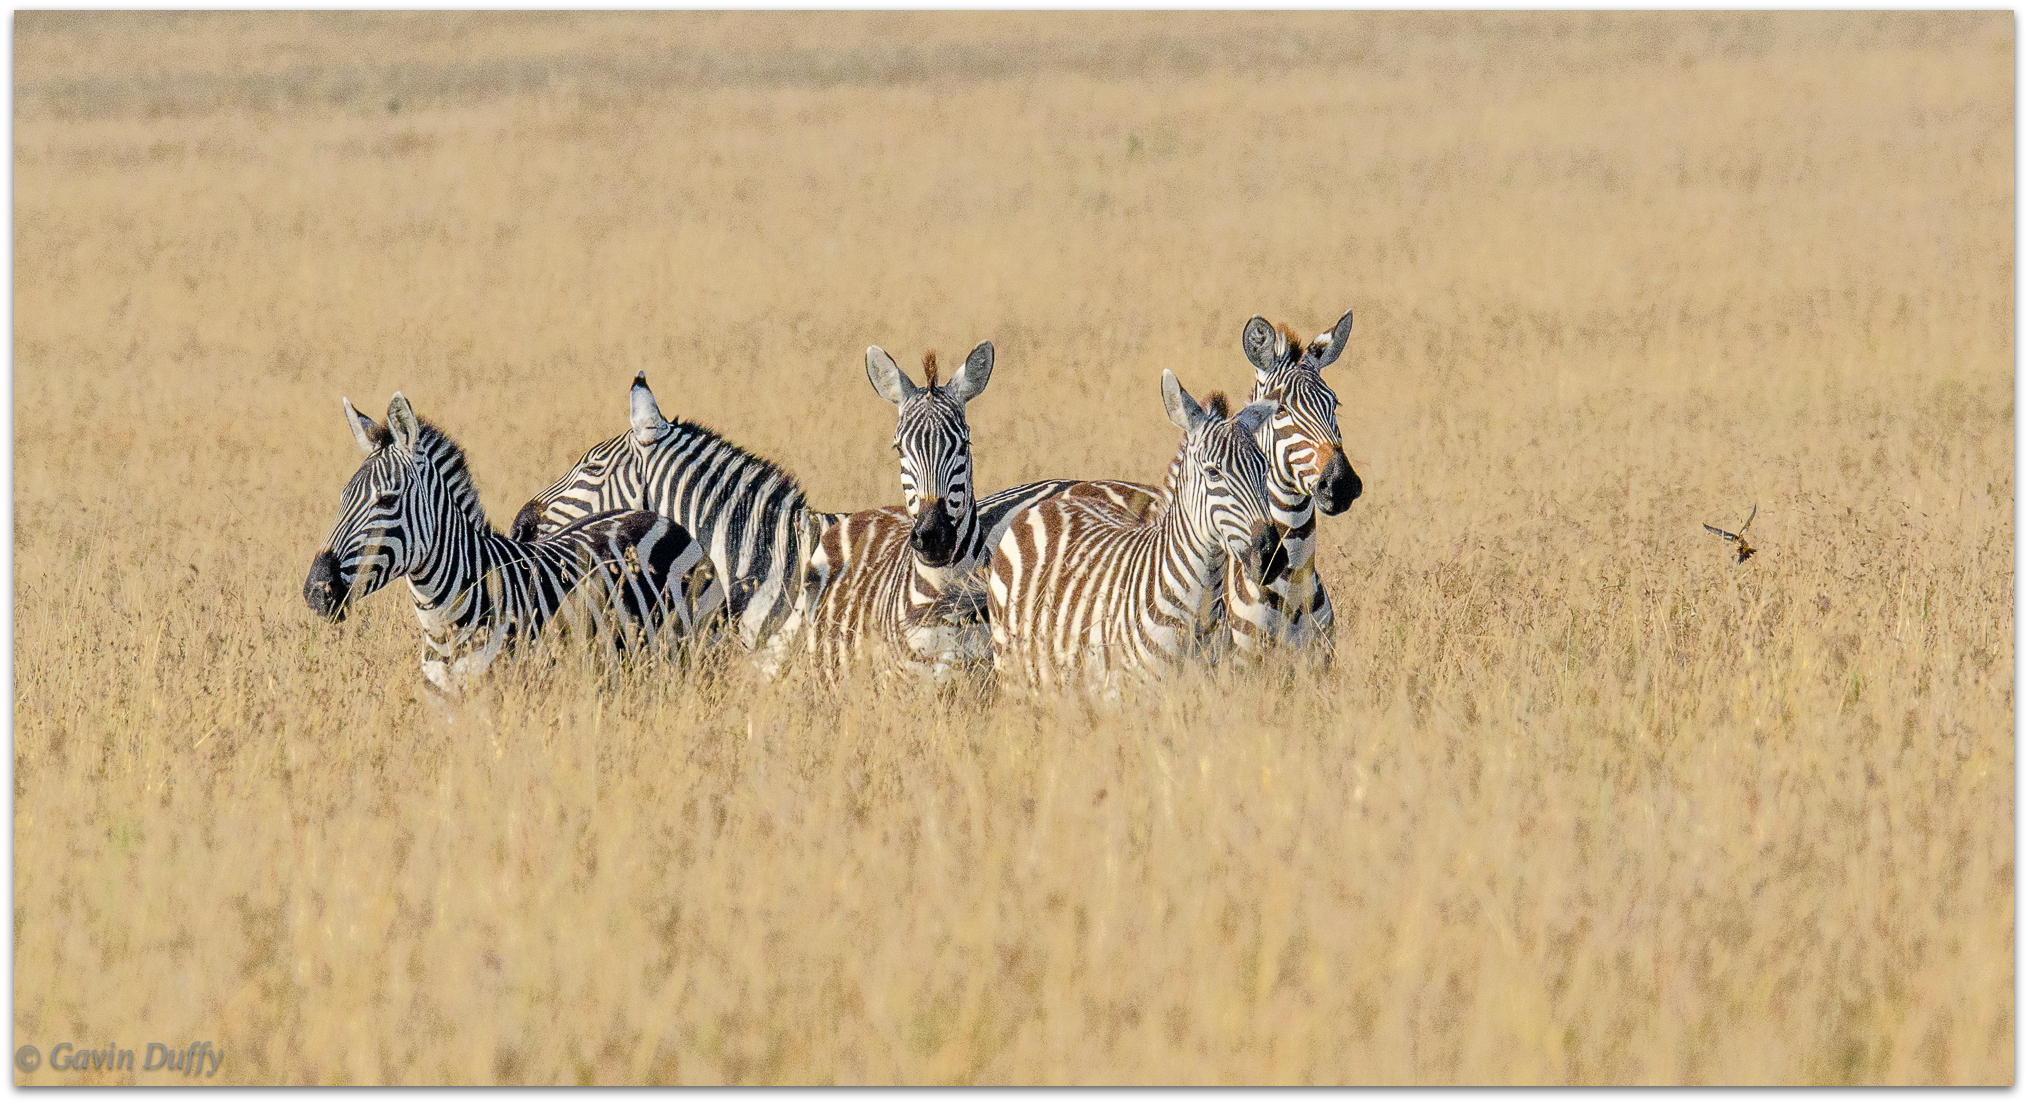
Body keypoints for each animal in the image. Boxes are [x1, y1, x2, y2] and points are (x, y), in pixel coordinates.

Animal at [304, 391, 726, 694]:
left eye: (387, 500)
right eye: (342, 499)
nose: (315, 591)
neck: (443, 621)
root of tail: (654, 516)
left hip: (698, 651)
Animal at [989, 375, 1273, 694]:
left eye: (1265, 470)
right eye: (1213, 472)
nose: (1270, 554)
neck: (1196, 610)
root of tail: (1052, 502)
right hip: (1010, 668)